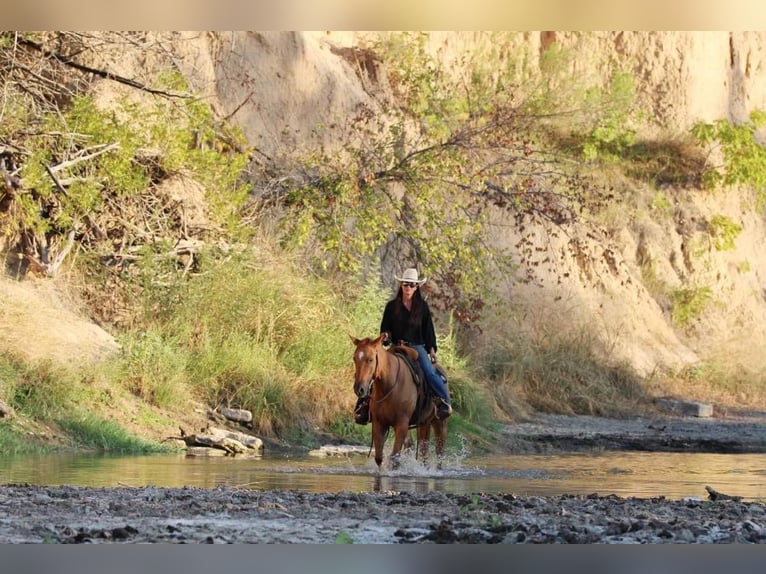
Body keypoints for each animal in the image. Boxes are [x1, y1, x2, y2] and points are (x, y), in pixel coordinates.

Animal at [352, 336, 448, 470]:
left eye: (370, 359)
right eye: (354, 358)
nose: (359, 389)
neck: (389, 384)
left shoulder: (402, 424)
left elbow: (394, 459)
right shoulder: (379, 423)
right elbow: (379, 458)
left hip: (439, 422)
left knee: (439, 451)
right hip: (425, 422)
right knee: (422, 450)